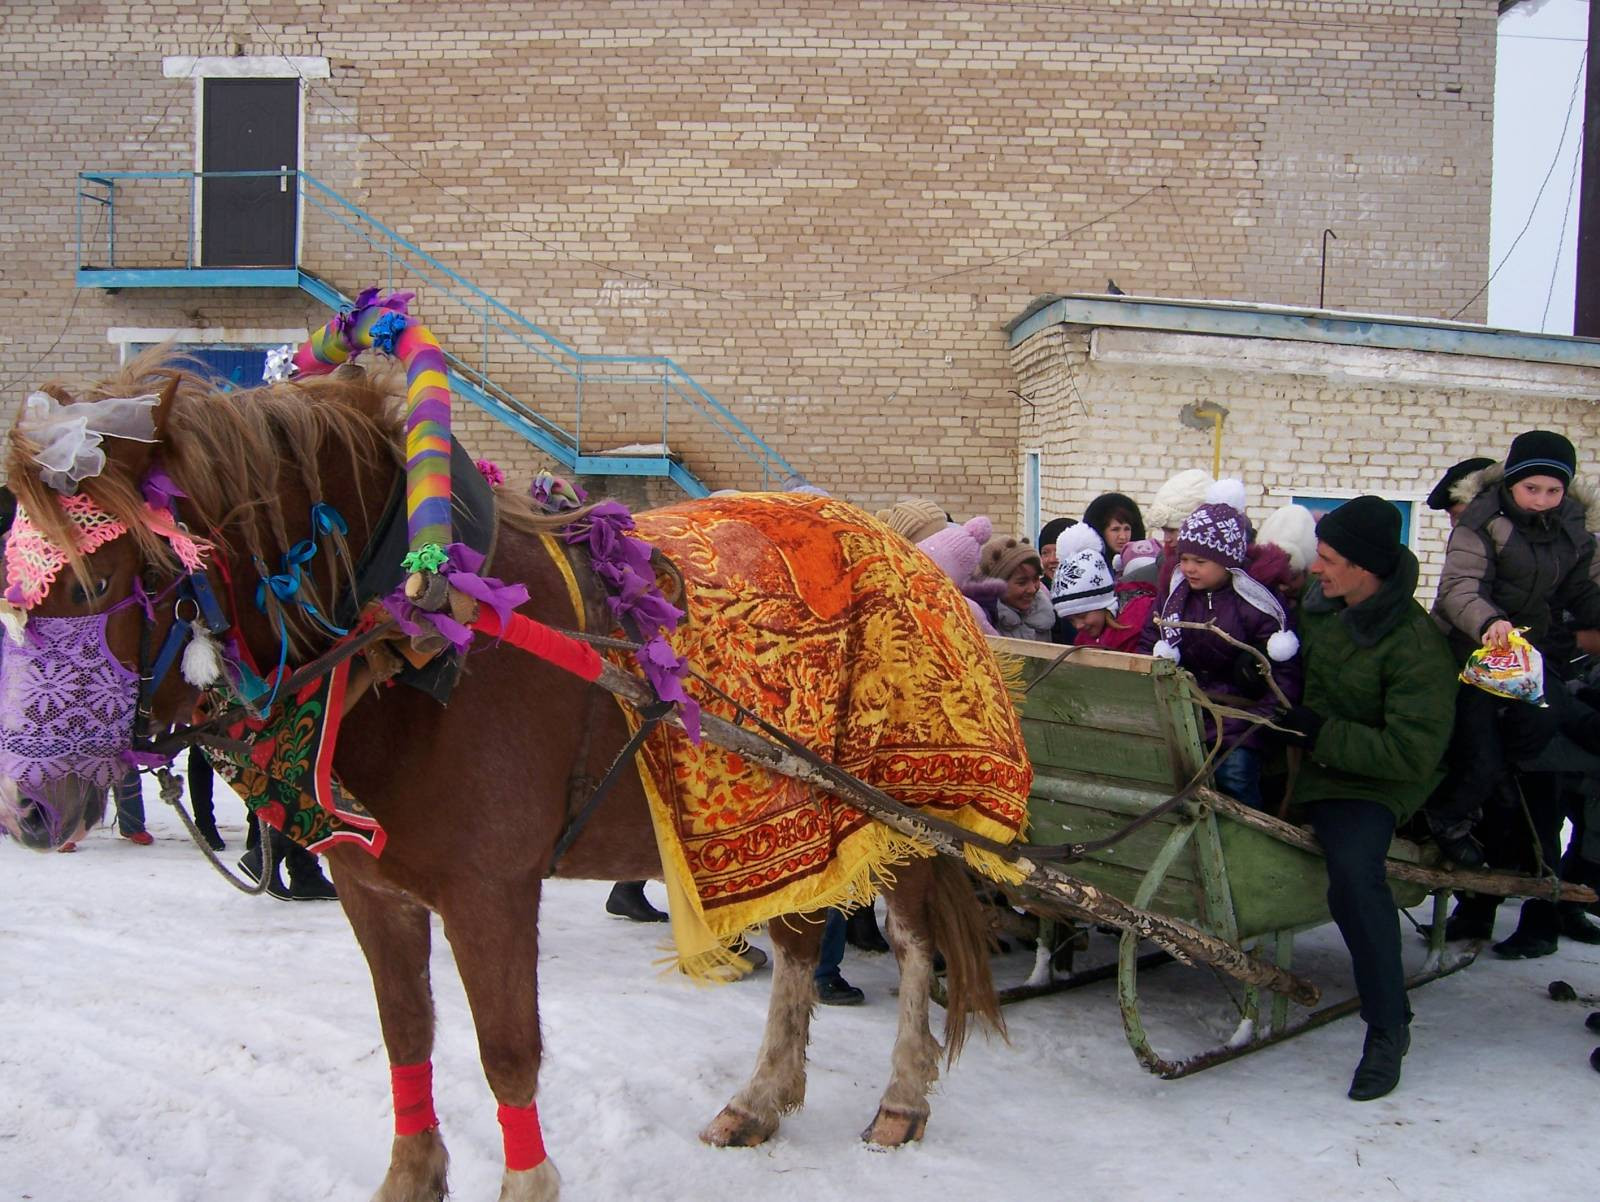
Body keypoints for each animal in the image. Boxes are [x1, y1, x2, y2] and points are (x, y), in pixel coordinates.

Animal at [0, 355, 1011, 1202]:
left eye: (92, 584)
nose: (28, 809)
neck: (413, 632)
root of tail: (912, 554)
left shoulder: (489, 893)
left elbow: (506, 1053)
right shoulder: (374, 889)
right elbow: (408, 1033)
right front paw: (411, 1179)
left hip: (899, 818)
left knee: (915, 945)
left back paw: (902, 1097)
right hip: (801, 824)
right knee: (801, 946)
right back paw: (760, 1099)